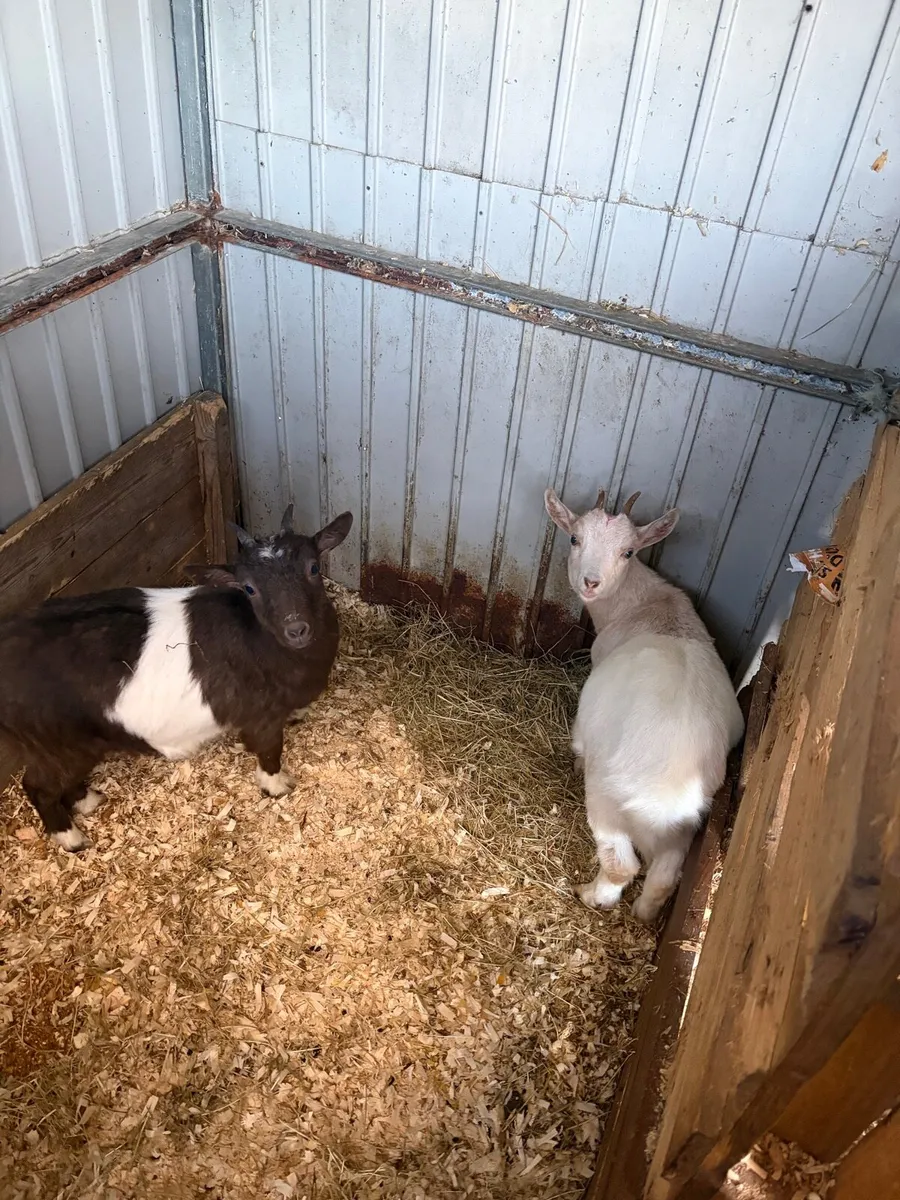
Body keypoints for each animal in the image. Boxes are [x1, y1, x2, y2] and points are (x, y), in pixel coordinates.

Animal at [0, 504, 353, 852]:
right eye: (249, 588)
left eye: (313, 568)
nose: (296, 629)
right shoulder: (260, 717)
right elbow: (270, 750)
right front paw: (276, 785)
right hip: (55, 744)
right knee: (38, 786)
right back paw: (70, 837)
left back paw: (87, 800)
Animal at [544, 486, 744, 923]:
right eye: (574, 538)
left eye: (629, 551)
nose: (591, 582)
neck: (646, 605)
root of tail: (670, 794)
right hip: (684, 826)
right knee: (665, 872)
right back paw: (644, 911)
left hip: (607, 796)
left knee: (622, 864)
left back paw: (591, 894)